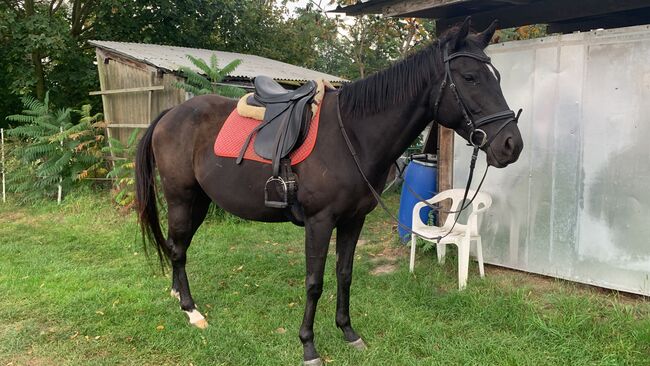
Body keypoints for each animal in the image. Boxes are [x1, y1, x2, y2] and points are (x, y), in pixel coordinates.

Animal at [133, 18, 520, 364]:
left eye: (498, 78)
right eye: (470, 78)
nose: (511, 145)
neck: (353, 136)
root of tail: (171, 113)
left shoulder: (353, 221)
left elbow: (344, 274)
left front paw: (348, 332)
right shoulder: (319, 223)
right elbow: (314, 282)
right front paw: (308, 346)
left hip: (198, 201)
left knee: (178, 246)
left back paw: (177, 295)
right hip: (181, 197)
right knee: (178, 248)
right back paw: (191, 311)